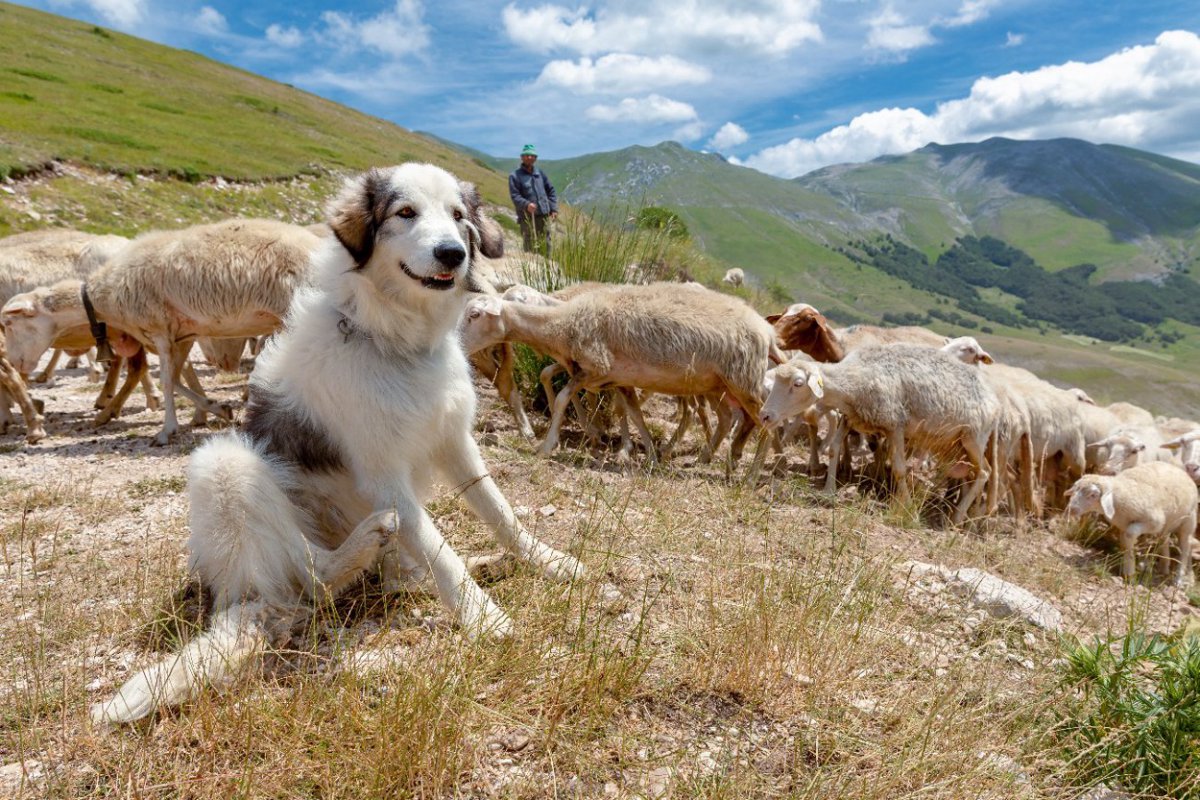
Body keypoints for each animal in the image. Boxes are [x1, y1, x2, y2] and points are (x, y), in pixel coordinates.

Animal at [2, 219, 321, 443]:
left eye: (10, 324)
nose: (15, 362)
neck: (103, 297)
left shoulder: (158, 329)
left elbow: (167, 381)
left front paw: (167, 430)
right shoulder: (180, 335)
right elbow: (177, 379)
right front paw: (216, 408)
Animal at [92, 163, 580, 724]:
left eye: (459, 216)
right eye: (405, 213)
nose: (453, 253)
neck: (396, 341)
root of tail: (245, 596)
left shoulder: (454, 441)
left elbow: (500, 512)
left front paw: (546, 560)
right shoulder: (383, 473)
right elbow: (443, 553)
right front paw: (485, 618)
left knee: (389, 578)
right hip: (225, 463)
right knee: (317, 578)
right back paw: (368, 540)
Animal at [458, 284, 777, 465]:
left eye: (474, 315)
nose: (457, 344)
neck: (562, 324)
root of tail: (765, 329)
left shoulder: (594, 368)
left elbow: (561, 399)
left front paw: (546, 446)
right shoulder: (617, 378)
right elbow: (634, 413)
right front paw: (648, 455)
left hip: (743, 382)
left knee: (767, 423)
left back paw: (753, 473)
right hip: (719, 384)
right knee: (730, 418)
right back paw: (708, 457)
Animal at [758, 345, 1003, 525]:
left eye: (798, 384)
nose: (765, 416)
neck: (852, 382)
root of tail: (994, 400)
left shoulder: (896, 424)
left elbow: (899, 469)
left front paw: (905, 506)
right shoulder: (852, 417)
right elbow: (834, 449)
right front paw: (828, 491)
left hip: (973, 438)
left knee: (985, 472)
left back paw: (957, 518)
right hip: (957, 444)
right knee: (972, 474)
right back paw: (968, 516)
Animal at [1065, 462, 1195, 587]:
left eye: (1092, 495)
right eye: (1075, 490)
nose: (1072, 509)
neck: (1122, 494)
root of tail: (1180, 470)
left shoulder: (1154, 522)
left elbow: (1130, 534)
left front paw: (1130, 573)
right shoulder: (1123, 525)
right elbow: (1124, 543)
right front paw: (1128, 569)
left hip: (1187, 522)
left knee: (1185, 548)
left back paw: (1178, 579)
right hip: (1167, 524)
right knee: (1165, 540)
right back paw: (1164, 567)